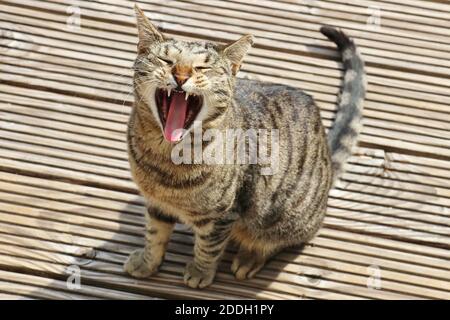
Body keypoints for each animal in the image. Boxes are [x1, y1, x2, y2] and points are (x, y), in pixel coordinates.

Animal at [124, 4, 366, 290]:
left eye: (202, 67)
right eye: (166, 60)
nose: (180, 75)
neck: (164, 159)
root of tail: (327, 159)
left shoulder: (223, 215)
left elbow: (208, 248)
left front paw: (200, 272)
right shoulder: (156, 202)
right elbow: (154, 234)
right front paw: (147, 262)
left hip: (284, 217)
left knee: (276, 239)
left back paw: (250, 257)